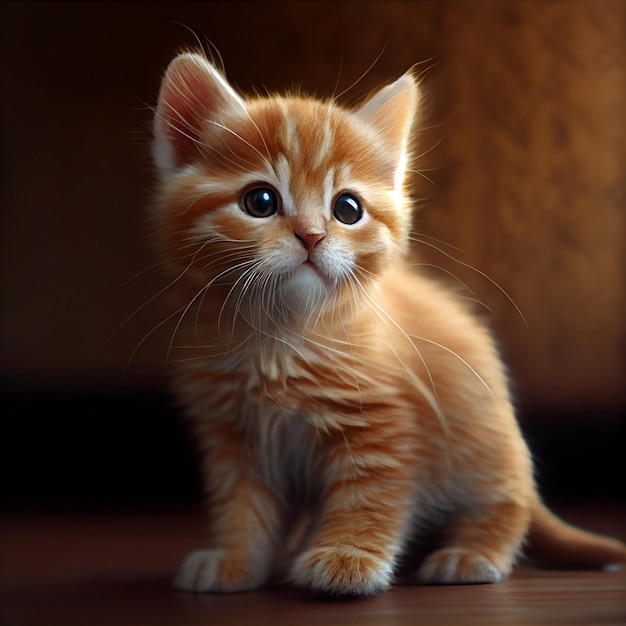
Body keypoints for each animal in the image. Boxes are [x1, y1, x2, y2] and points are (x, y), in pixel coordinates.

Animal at [151, 51, 624, 592]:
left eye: (347, 209)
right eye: (261, 202)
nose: (311, 236)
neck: (279, 336)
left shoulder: (385, 424)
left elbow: (368, 498)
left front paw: (346, 559)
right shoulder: (235, 437)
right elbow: (243, 508)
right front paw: (236, 561)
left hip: (483, 441)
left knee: (508, 502)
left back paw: (471, 553)